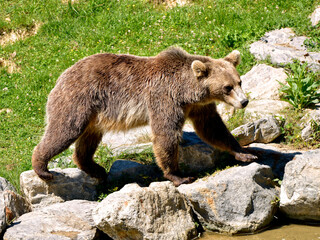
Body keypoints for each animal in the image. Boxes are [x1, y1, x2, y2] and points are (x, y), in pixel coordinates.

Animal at [31, 46, 258, 186]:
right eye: (227, 87)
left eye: (239, 81)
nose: (244, 101)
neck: (187, 91)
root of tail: (62, 75)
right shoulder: (164, 99)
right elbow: (165, 134)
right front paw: (179, 176)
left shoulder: (198, 107)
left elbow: (213, 128)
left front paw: (245, 152)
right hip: (78, 100)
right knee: (64, 130)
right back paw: (43, 168)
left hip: (95, 115)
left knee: (87, 141)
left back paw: (97, 170)